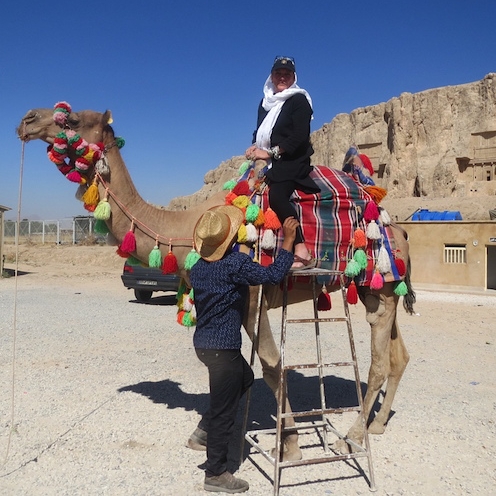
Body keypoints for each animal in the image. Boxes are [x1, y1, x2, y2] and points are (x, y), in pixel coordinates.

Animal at [16, 104, 414, 462]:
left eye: (72, 119)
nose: (27, 119)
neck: (186, 229)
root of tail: (399, 228)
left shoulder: (252, 296)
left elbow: (270, 365)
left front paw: (289, 446)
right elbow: (229, 366)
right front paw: (204, 433)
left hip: (378, 284)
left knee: (378, 362)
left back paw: (351, 439)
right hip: (384, 290)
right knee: (399, 356)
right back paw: (378, 424)